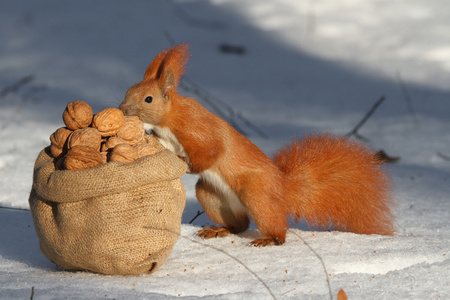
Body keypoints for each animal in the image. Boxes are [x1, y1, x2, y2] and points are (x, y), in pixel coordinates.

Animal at [119, 44, 394, 246]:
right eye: (128, 90)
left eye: (148, 99)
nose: (121, 109)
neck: (169, 120)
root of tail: (282, 188)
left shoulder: (198, 129)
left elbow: (211, 152)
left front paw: (186, 164)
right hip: (212, 195)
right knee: (239, 226)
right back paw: (219, 230)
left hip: (256, 193)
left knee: (275, 227)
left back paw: (269, 239)